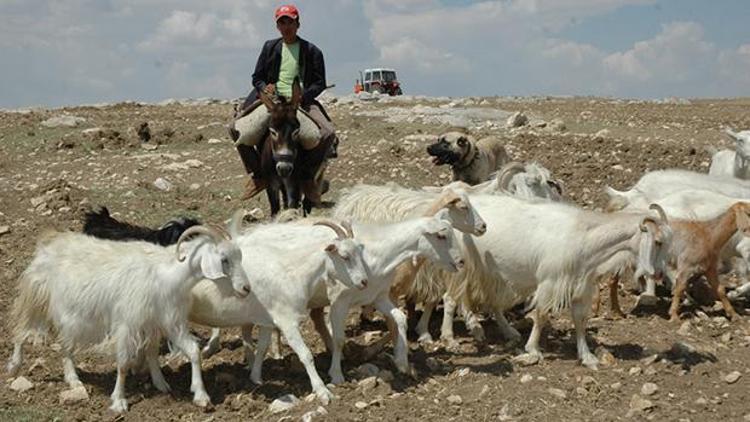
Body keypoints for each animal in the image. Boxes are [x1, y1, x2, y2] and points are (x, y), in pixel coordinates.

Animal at [5, 223, 253, 414]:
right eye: (224, 259)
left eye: (240, 256)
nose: (246, 288)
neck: (165, 275)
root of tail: (51, 240)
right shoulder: (128, 323)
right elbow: (123, 363)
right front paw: (119, 401)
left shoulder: (165, 321)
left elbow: (183, 351)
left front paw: (189, 392)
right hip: (36, 295)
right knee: (20, 330)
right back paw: (14, 366)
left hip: (71, 313)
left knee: (65, 345)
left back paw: (73, 379)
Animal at [188, 219, 370, 400]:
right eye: (344, 256)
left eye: (360, 252)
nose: (364, 282)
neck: (292, 275)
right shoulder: (287, 322)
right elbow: (306, 355)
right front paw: (322, 391)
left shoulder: (267, 321)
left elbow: (262, 348)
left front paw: (256, 378)